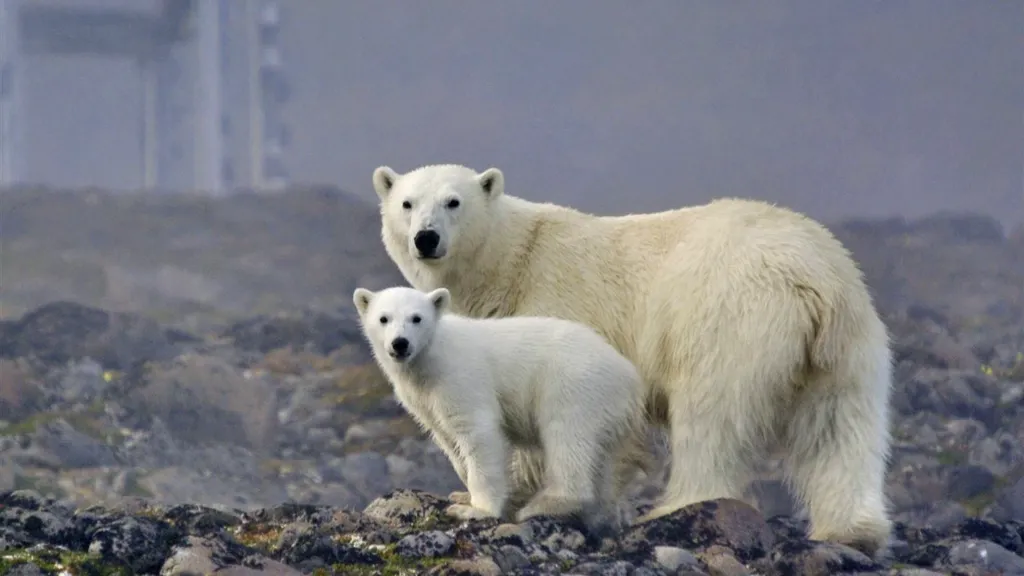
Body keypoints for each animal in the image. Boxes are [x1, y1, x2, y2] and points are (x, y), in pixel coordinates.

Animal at [352, 284, 647, 532]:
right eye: (383, 318)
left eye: (416, 318)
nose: (400, 343)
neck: (429, 358)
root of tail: (631, 377)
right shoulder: (422, 399)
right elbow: (448, 439)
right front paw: (463, 494)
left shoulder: (460, 377)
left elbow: (479, 433)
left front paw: (475, 510)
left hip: (574, 387)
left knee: (567, 439)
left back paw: (539, 506)